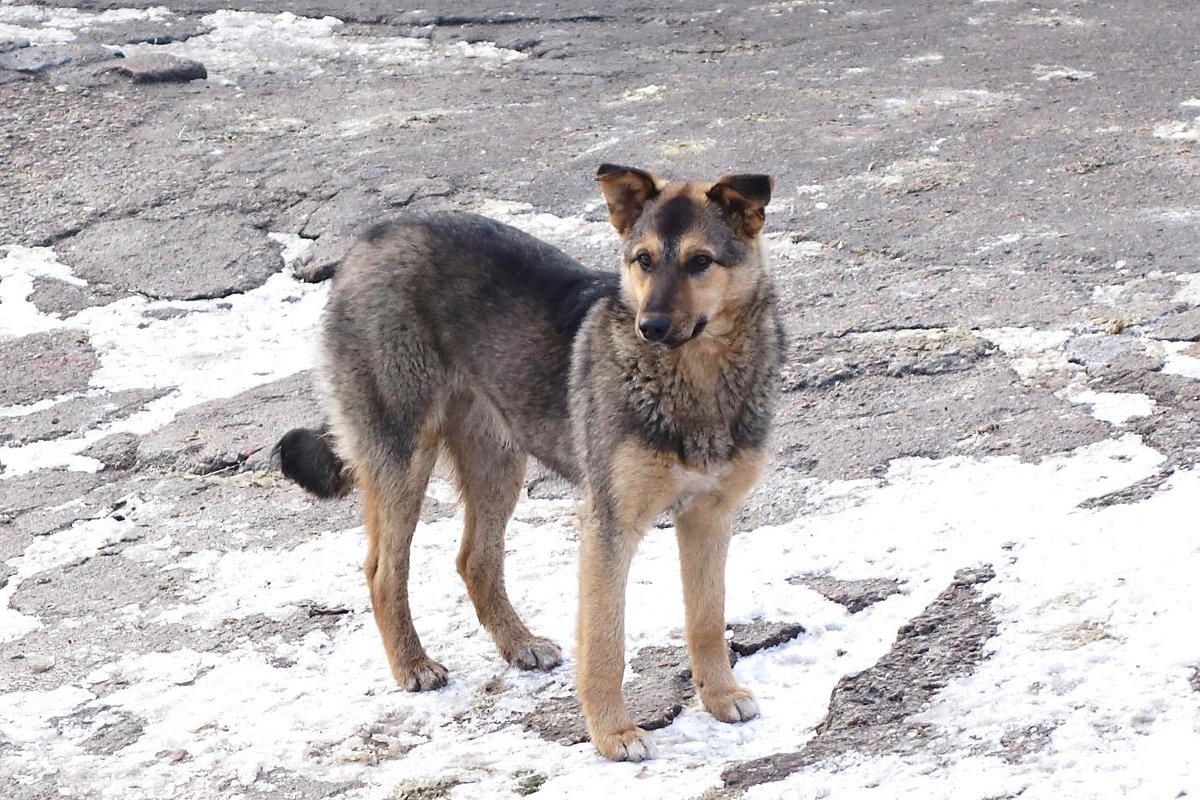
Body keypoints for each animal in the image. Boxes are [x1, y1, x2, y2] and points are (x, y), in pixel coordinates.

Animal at [278, 164, 787, 762]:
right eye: (642, 260)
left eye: (700, 261)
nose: (652, 327)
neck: (695, 377)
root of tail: (367, 240)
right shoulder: (609, 526)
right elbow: (606, 642)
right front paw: (613, 734)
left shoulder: (710, 515)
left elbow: (707, 618)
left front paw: (720, 696)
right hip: (404, 458)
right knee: (384, 570)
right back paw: (413, 665)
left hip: (498, 460)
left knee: (474, 557)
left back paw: (518, 643)